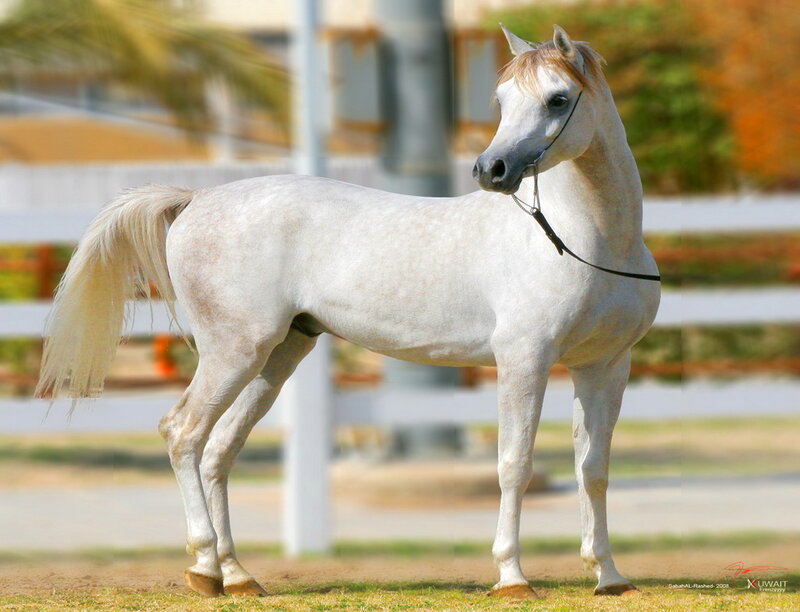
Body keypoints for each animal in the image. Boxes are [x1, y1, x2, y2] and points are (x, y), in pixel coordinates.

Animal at [36, 24, 659, 598]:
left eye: (557, 98)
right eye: (502, 99)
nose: (492, 170)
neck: (588, 240)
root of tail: (195, 200)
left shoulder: (604, 367)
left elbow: (593, 469)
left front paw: (608, 576)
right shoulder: (524, 361)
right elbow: (514, 464)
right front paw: (511, 578)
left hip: (276, 358)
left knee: (218, 451)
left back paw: (237, 575)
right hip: (233, 354)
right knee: (183, 434)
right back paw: (204, 569)